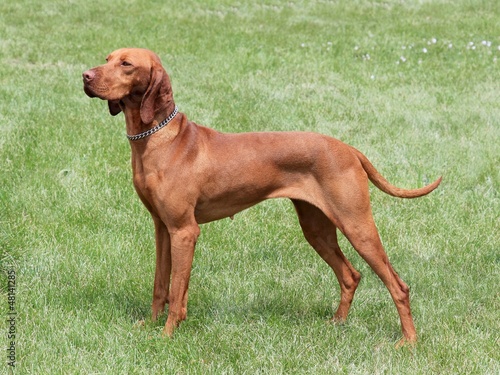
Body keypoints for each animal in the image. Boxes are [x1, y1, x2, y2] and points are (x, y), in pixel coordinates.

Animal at [82, 47, 442, 346]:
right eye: (107, 58)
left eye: (126, 64)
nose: (85, 75)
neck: (160, 139)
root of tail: (348, 148)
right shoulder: (162, 228)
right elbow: (160, 284)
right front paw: (151, 324)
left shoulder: (184, 231)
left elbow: (177, 288)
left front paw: (168, 334)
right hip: (316, 228)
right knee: (350, 275)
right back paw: (337, 324)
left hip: (357, 225)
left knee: (398, 285)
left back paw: (408, 341)